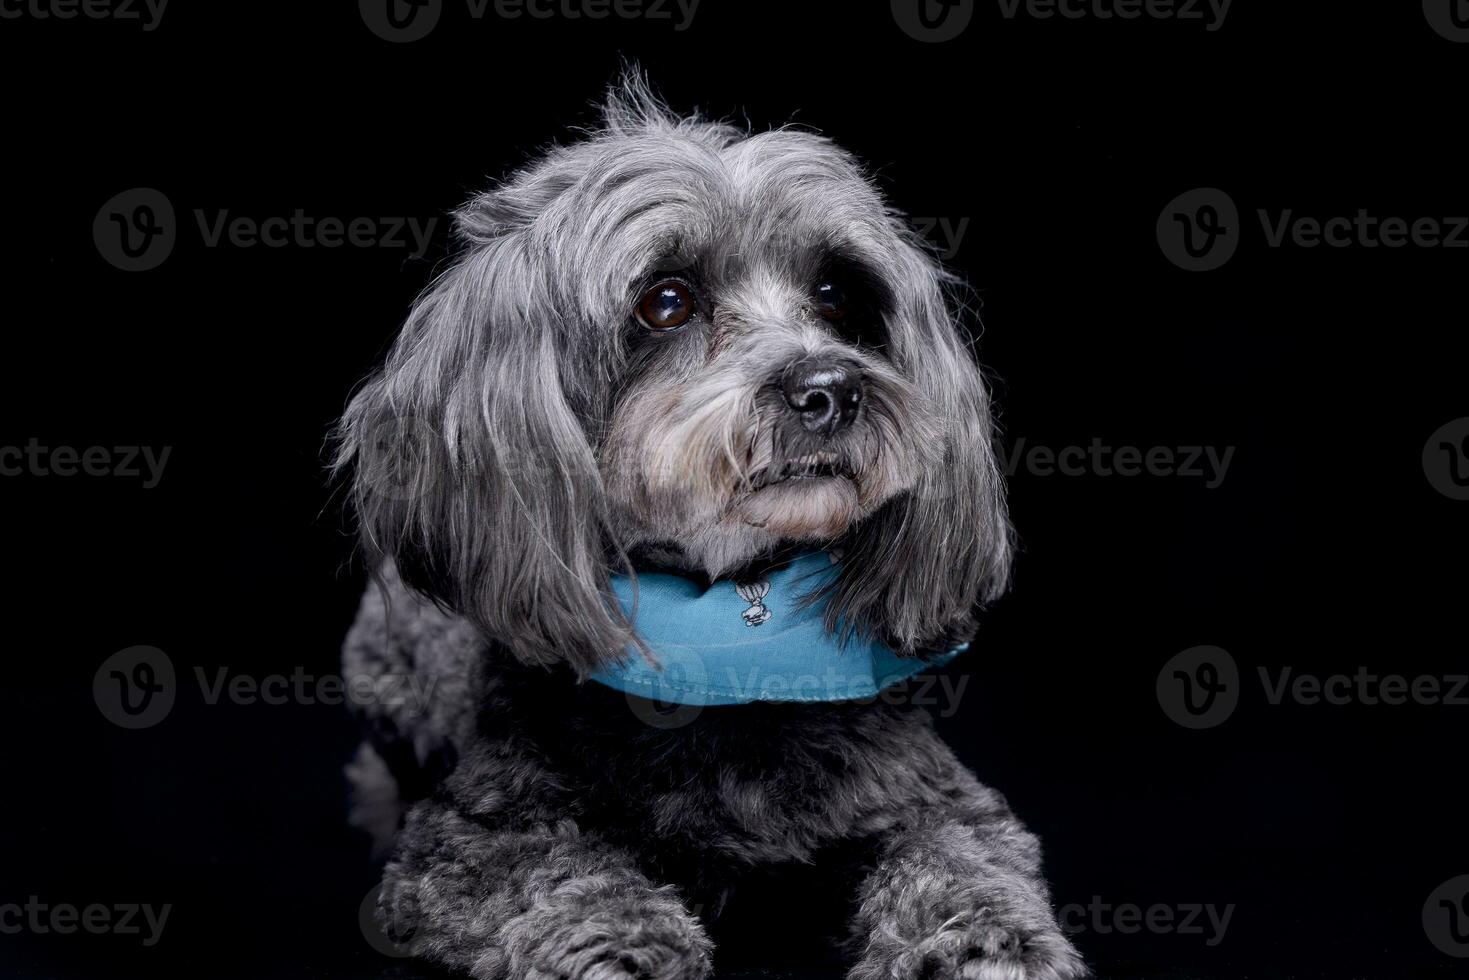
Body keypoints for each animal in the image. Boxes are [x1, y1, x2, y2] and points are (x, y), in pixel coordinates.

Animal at [336, 70, 1092, 980]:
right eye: (666, 303)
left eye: (837, 295)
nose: (831, 387)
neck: (737, 638)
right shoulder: (466, 840)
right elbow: (559, 872)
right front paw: (623, 943)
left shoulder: (936, 797)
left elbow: (959, 857)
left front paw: (987, 943)